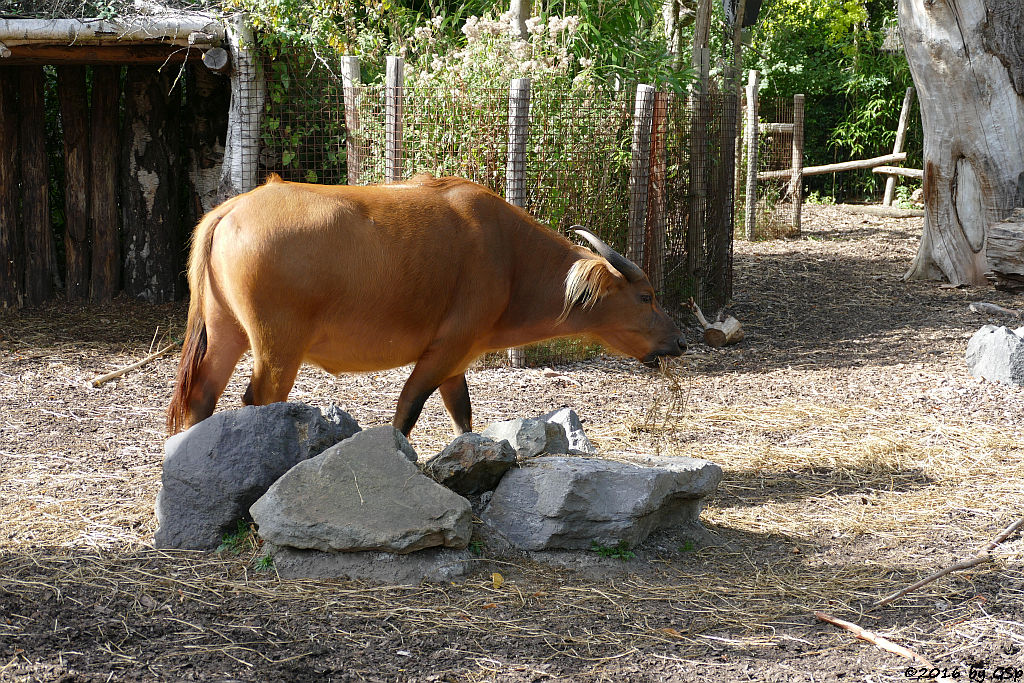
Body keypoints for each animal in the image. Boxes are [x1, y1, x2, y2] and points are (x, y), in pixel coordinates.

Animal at [163, 174, 684, 436]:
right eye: (646, 296)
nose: (679, 341)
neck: (510, 257)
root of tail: (229, 210)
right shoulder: (442, 352)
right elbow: (406, 412)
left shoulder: (458, 362)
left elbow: (464, 417)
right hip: (277, 349)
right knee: (257, 401)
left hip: (226, 332)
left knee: (201, 396)